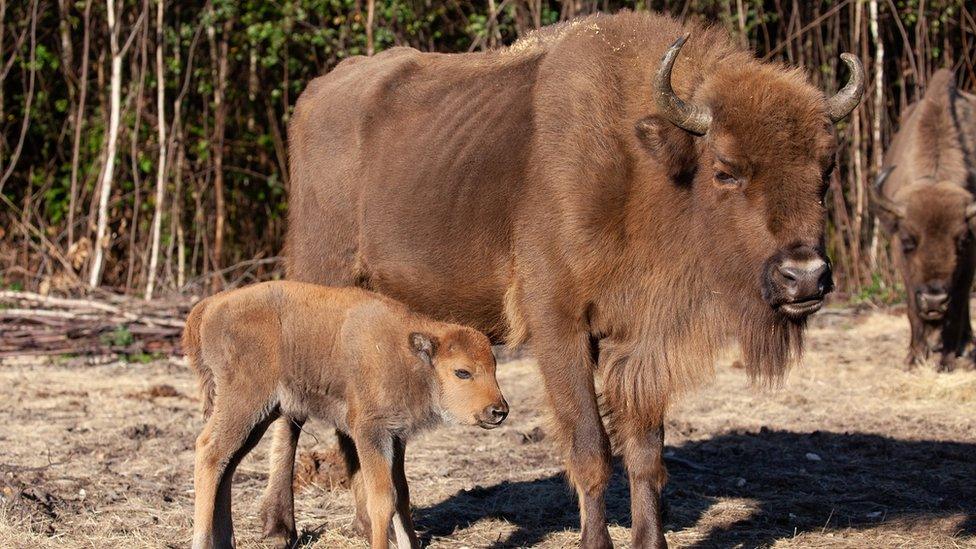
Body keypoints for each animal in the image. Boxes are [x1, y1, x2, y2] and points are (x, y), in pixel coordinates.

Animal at [181, 282, 510, 548]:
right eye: (462, 372)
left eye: (494, 368)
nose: (498, 411)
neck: (409, 356)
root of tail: (209, 306)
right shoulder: (370, 432)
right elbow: (382, 499)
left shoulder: (396, 437)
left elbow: (402, 495)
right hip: (244, 404)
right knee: (209, 452)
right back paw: (202, 541)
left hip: (258, 416)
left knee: (227, 464)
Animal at [264, 9, 860, 548]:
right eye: (726, 170)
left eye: (825, 168)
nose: (805, 278)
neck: (640, 165)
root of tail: (314, 95)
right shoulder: (560, 328)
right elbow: (591, 447)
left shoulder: (635, 342)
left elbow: (645, 453)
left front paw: (651, 540)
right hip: (314, 278)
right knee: (290, 411)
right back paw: (279, 526)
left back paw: (378, 522)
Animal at [868, 67, 976, 368]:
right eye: (908, 241)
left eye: (962, 241)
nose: (934, 300)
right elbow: (911, 310)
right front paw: (914, 358)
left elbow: (959, 305)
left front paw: (947, 359)